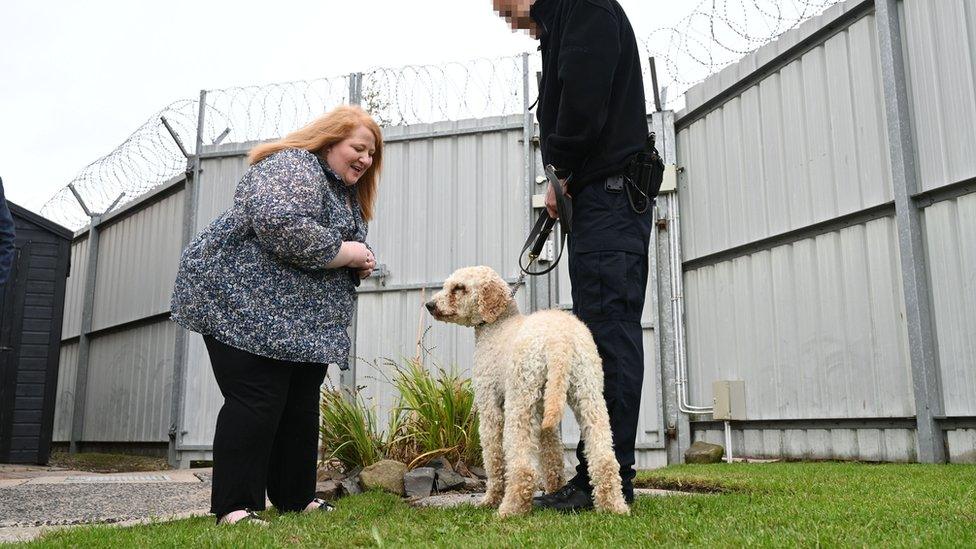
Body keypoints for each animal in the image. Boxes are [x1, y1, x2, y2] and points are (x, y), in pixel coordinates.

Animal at [426, 266, 624, 520]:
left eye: (459, 288)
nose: (430, 305)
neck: (498, 325)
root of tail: (558, 340)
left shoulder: (490, 405)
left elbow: (494, 456)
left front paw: (490, 499)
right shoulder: (544, 408)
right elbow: (552, 454)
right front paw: (555, 489)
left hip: (520, 400)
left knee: (523, 466)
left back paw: (509, 509)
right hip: (587, 393)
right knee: (604, 457)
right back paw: (614, 507)